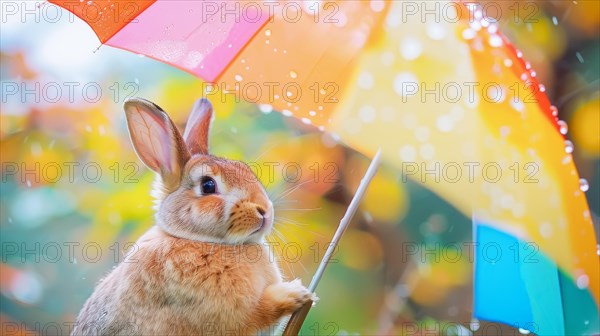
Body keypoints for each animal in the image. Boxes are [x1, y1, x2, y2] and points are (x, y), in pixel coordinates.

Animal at [71, 98, 314, 336]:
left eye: (246, 169)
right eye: (208, 185)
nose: (264, 211)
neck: (195, 239)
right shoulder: (227, 315)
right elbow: (256, 313)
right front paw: (295, 293)